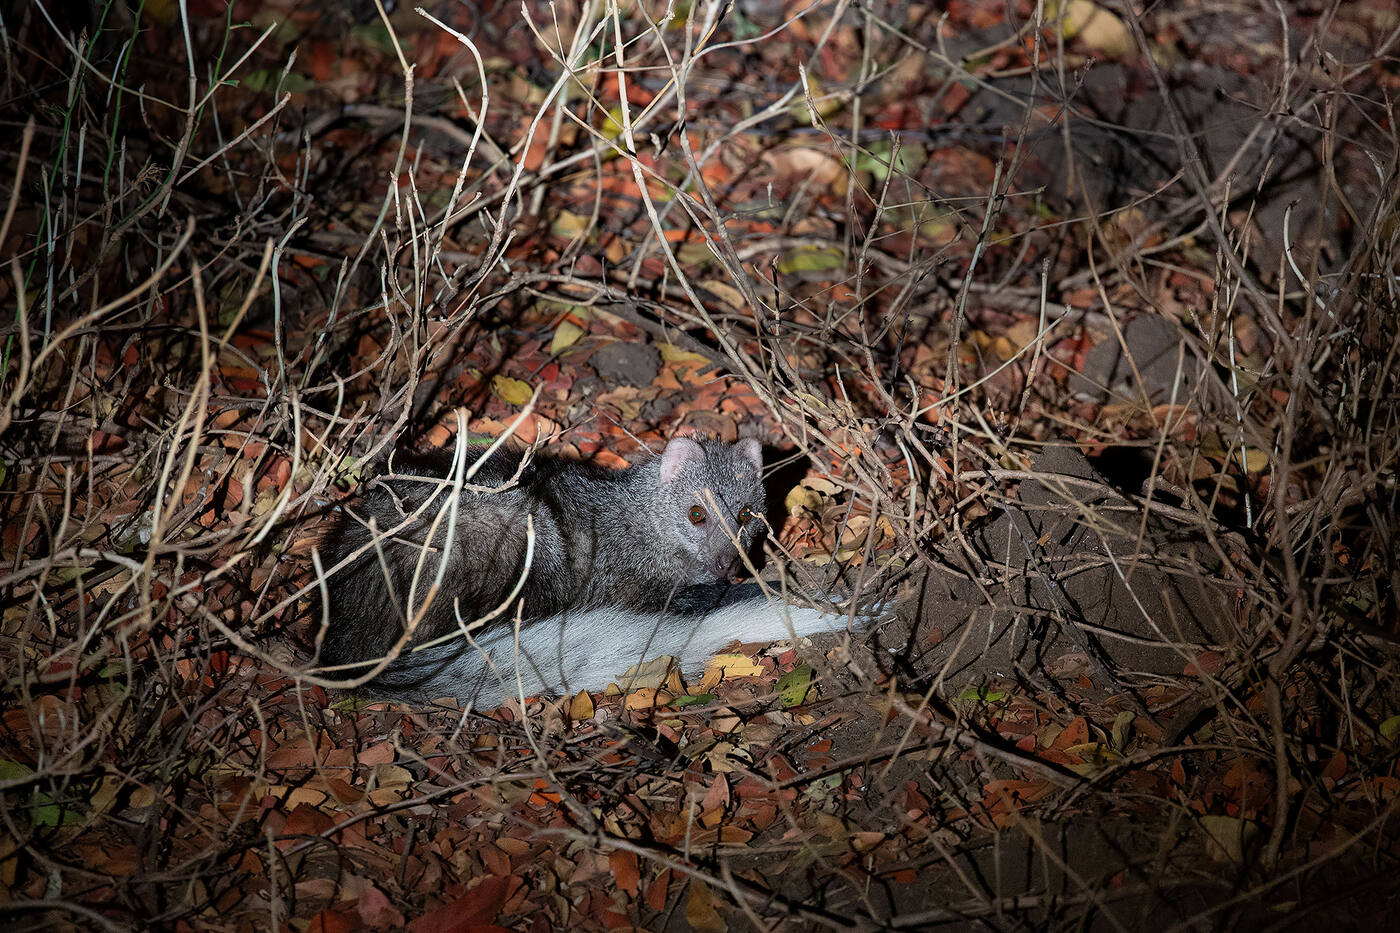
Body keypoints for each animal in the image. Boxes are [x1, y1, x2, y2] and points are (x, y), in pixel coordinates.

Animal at [316, 432, 839, 706]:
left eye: (748, 513)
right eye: (696, 514)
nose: (727, 564)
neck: (635, 520)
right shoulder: (618, 583)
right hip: (520, 536)